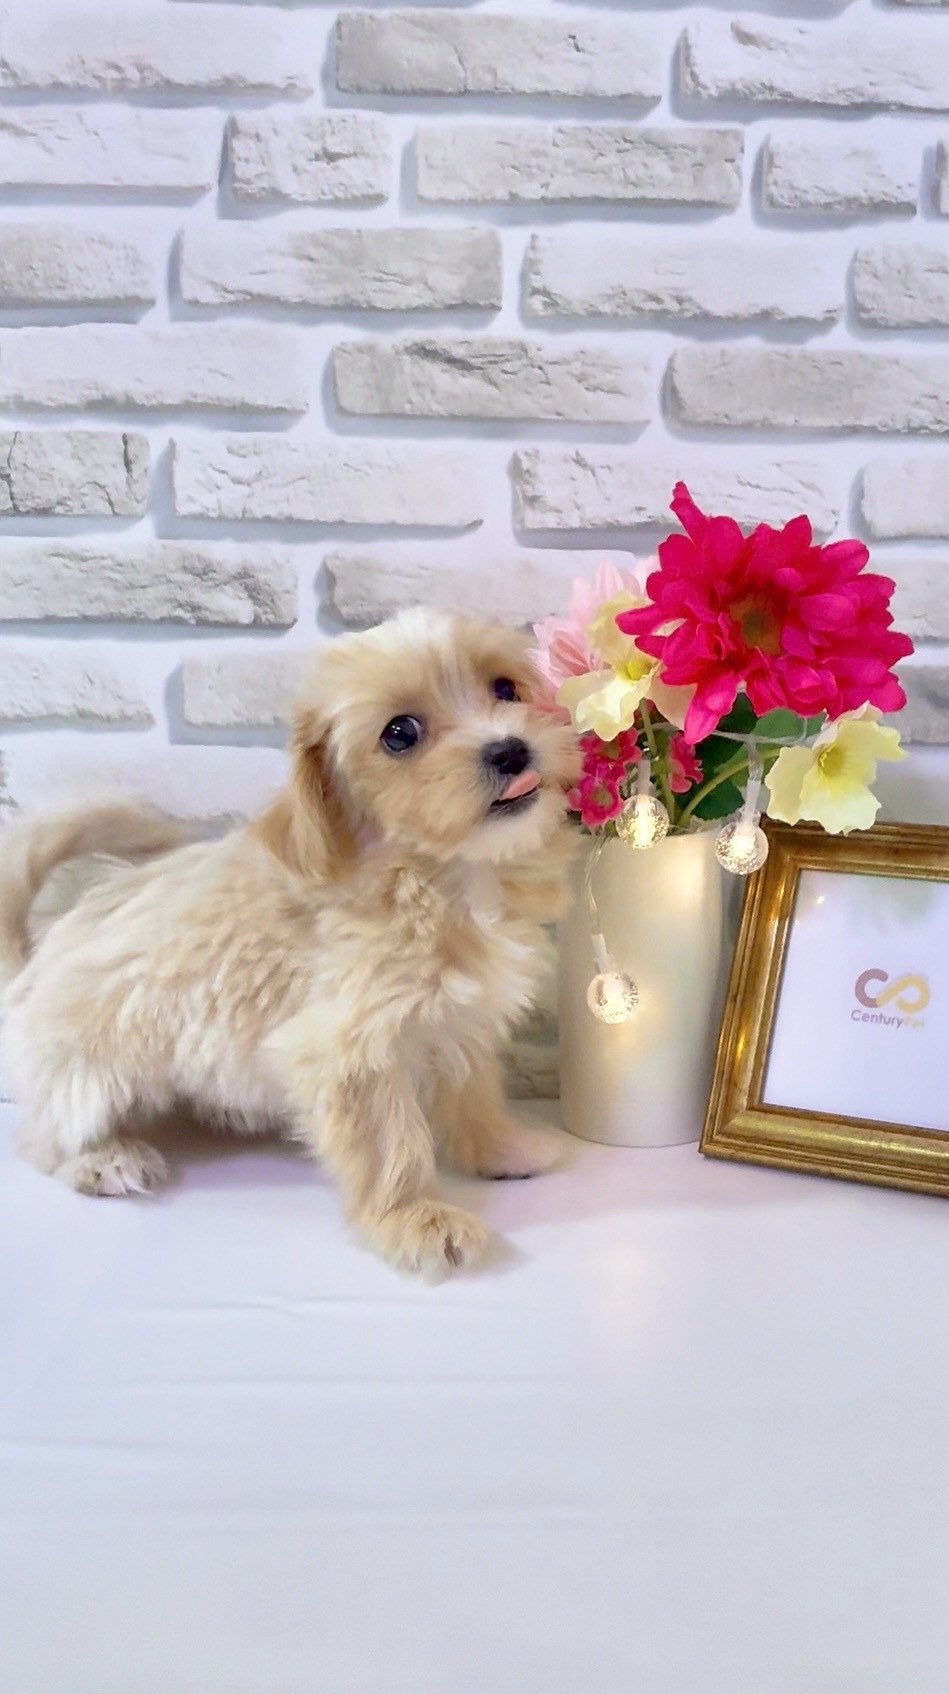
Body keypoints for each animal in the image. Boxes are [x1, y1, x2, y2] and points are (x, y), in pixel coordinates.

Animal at [0, 609, 580, 1275]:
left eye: (505, 688)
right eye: (400, 733)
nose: (510, 749)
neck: (437, 873)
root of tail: (29, 967)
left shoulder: (458, 1021)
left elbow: (474, 1094)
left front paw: (505, 1149)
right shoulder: (350, 1052)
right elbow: (390, 1146)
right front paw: (415, 1218)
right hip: (85, 1076)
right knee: (43, 1137)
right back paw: (102, 1159)